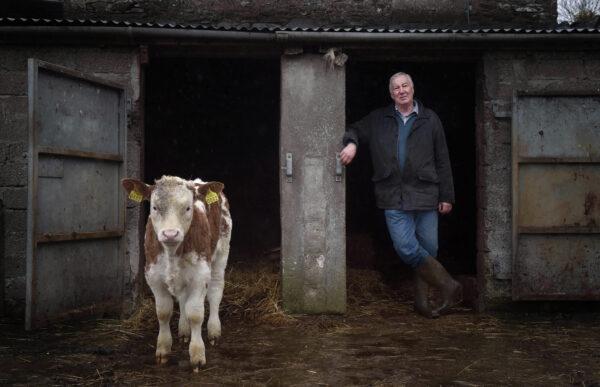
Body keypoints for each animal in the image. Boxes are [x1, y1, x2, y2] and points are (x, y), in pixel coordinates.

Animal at [122, 177, 232, 372]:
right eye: (155, 207)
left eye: (188, 207)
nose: (170, 233)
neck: (172, 252)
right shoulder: (153, 276)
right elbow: (163, 312)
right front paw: (163, 349)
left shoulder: (200, 275)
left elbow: (195, 313)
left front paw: (197, 355)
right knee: (182, 299)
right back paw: (184, 331)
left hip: (221, 253)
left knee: (215, 291)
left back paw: (213, 331)